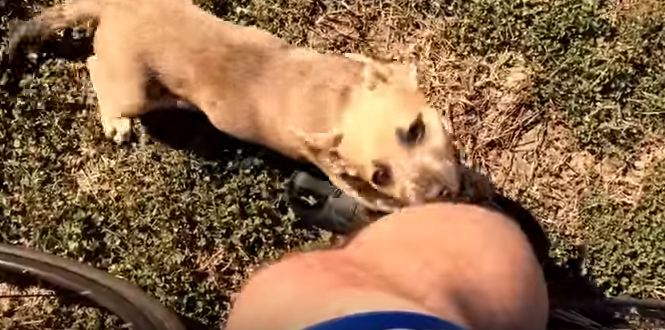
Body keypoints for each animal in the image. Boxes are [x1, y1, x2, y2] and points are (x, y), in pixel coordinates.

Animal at [7, 0, 470, 213]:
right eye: (379, 175)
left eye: (415, 130)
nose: (442, 194)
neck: (336, 101)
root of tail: (113, 6)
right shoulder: (347, 180)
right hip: (133, 89)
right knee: (94, 66)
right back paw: (115, 122)